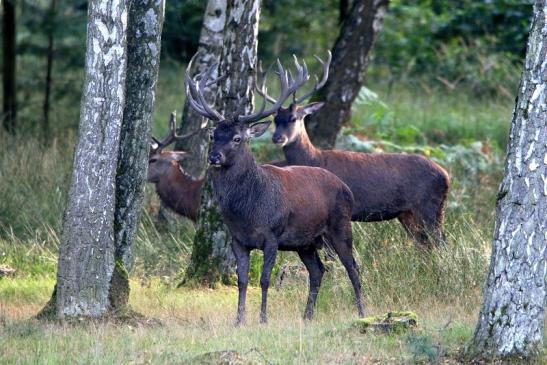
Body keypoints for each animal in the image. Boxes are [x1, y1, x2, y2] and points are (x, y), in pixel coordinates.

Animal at [186, 54, 366, 324]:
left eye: (238, 138)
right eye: (213, 135)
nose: (214, 157)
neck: (247, 211)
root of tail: (346, 187)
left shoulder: (272, 235)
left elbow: (264, 280)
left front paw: (263, 319)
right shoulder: (238, 239)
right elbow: (242, 280)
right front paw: (239, 320)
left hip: (340, 226)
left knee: (353, 268)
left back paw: (362, 313)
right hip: (306, 242)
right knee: (318, 270)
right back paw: (307, 317)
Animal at [264, 52, 450, 246]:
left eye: (293, 118)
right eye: (275, 120)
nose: (277, 137)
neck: (314, 159)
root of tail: (446, 176)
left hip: (429, 207)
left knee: (441, 243)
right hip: (409, 214)